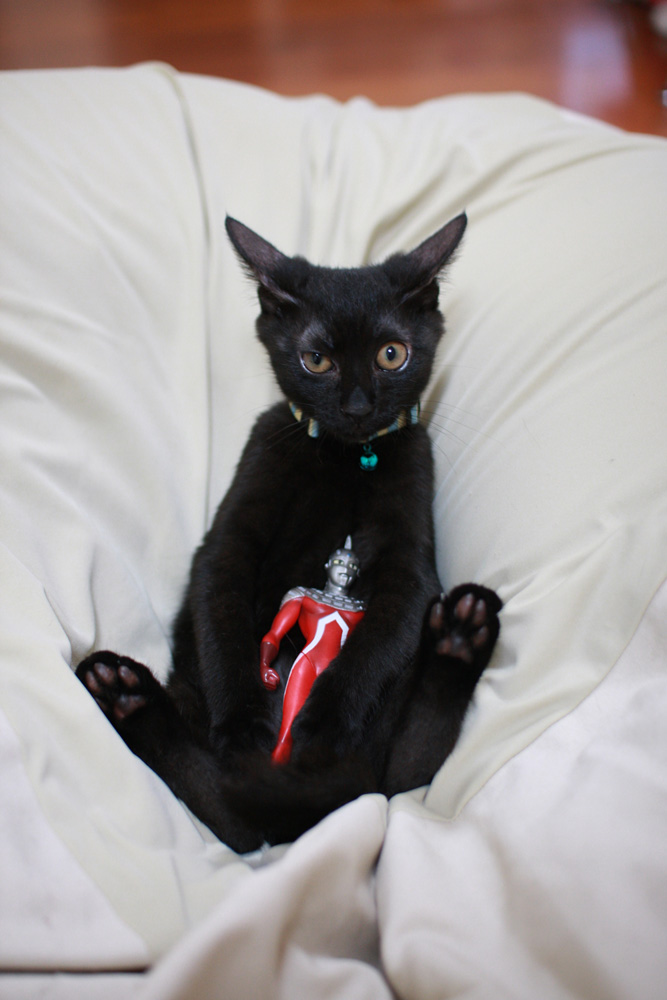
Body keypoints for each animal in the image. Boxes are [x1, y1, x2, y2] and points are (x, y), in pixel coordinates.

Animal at [76, 213, 501, 853]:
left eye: (392, 354)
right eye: (316, 360)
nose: (357, 405)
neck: (344, 458)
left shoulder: (411, 561)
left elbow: (381, 638)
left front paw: (324, 720)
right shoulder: (228, 535)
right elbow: (223, 613)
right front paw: (244, 723)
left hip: (381, 764)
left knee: (402, 770)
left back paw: (462, 632)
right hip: (191, 691)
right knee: (230, 817)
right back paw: (126, 696)